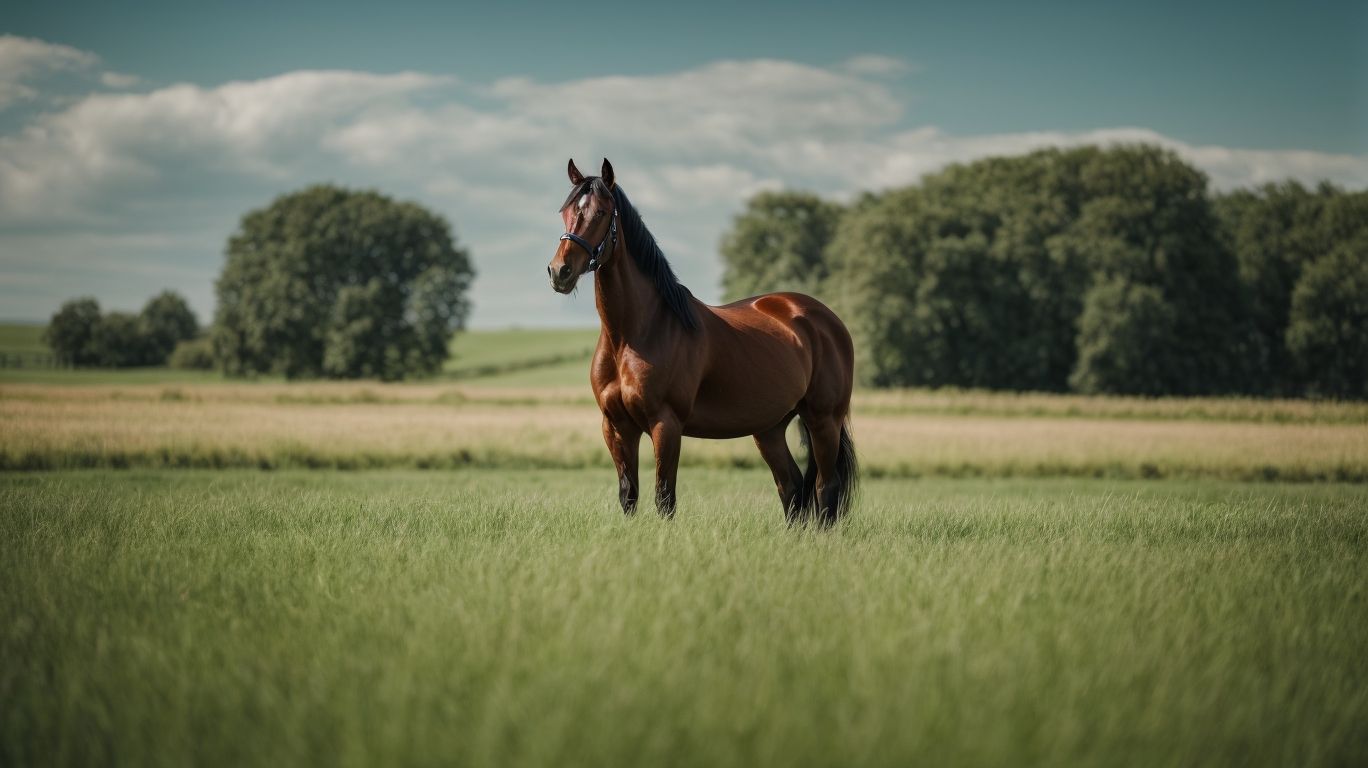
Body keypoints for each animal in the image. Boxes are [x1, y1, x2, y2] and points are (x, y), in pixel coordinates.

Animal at [547, 158, 858, 525]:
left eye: (601, 212)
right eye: (566, 212)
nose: (560, 271)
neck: (633, 335)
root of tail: (826, 320)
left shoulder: (666, 424)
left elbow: (664, 497)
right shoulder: (617, 426)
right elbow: (629, 496)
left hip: (824, 420)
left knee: (826, 488)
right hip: (769, 428)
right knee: (792, 487)